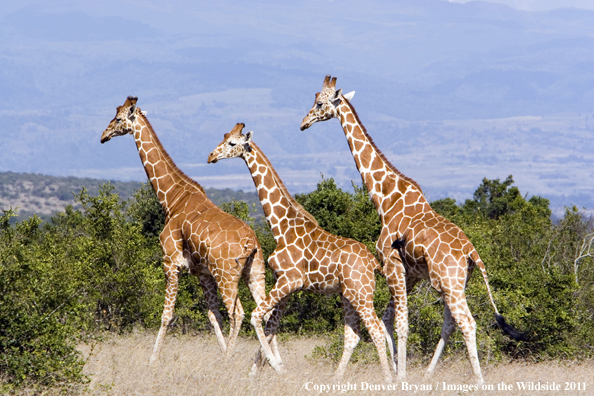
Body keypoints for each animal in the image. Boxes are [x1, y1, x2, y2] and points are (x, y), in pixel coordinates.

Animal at [100, 96, 268, 366]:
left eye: (117, 118)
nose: (103, 136)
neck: (172, 199)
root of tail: (252, 242)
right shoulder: (202, 273)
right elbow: (213, 317)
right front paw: (221, 354)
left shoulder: (170, 262)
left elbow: (166, 315)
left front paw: (152, 361)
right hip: (254, 272)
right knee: (262, 311)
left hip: (227, 275)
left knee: (239, 313)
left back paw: (232, 362)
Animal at [208, 123, 394, 380]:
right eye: (224, 137)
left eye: (232, 143)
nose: (211, 156)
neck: (280, 227)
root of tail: (374, 263)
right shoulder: (286, 285)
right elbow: (270, 326)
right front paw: (257, 372)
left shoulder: (289, 280)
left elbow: (257, 317)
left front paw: (275, 366)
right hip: (348, 294)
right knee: (353, 335)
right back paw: (336, 378)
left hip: (362, 293)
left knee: (375, 330)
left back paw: (388, 379)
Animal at [300, 75, 524, 384]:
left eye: (320, 103)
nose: (303, 123)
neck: (385, 198)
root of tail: (472, 253)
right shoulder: (411, 274)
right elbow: (388, 320)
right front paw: (396, 372)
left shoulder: (391, 264)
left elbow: (402, 324)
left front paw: (400, 377)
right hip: (455, 283)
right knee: (450, 324)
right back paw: (429, 374)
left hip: (448, 282)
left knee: (468, 322)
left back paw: (478, 380)